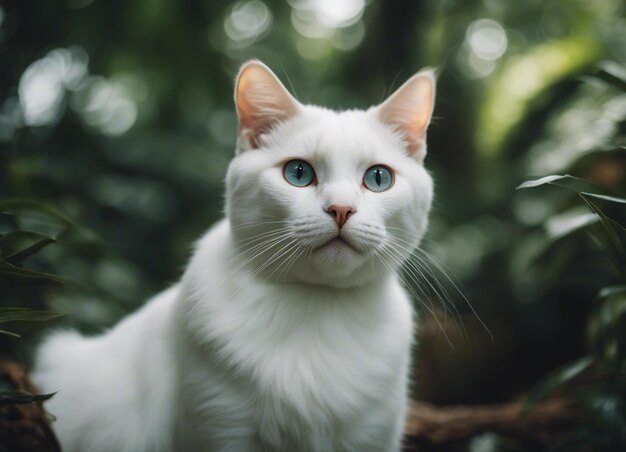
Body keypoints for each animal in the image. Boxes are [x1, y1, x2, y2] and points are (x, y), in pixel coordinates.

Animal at [33, 61, 434, 452]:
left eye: (379, 178)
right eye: (298, 173)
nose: (341, 209)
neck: (315, 308)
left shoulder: (373, 435)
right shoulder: (221, 428)